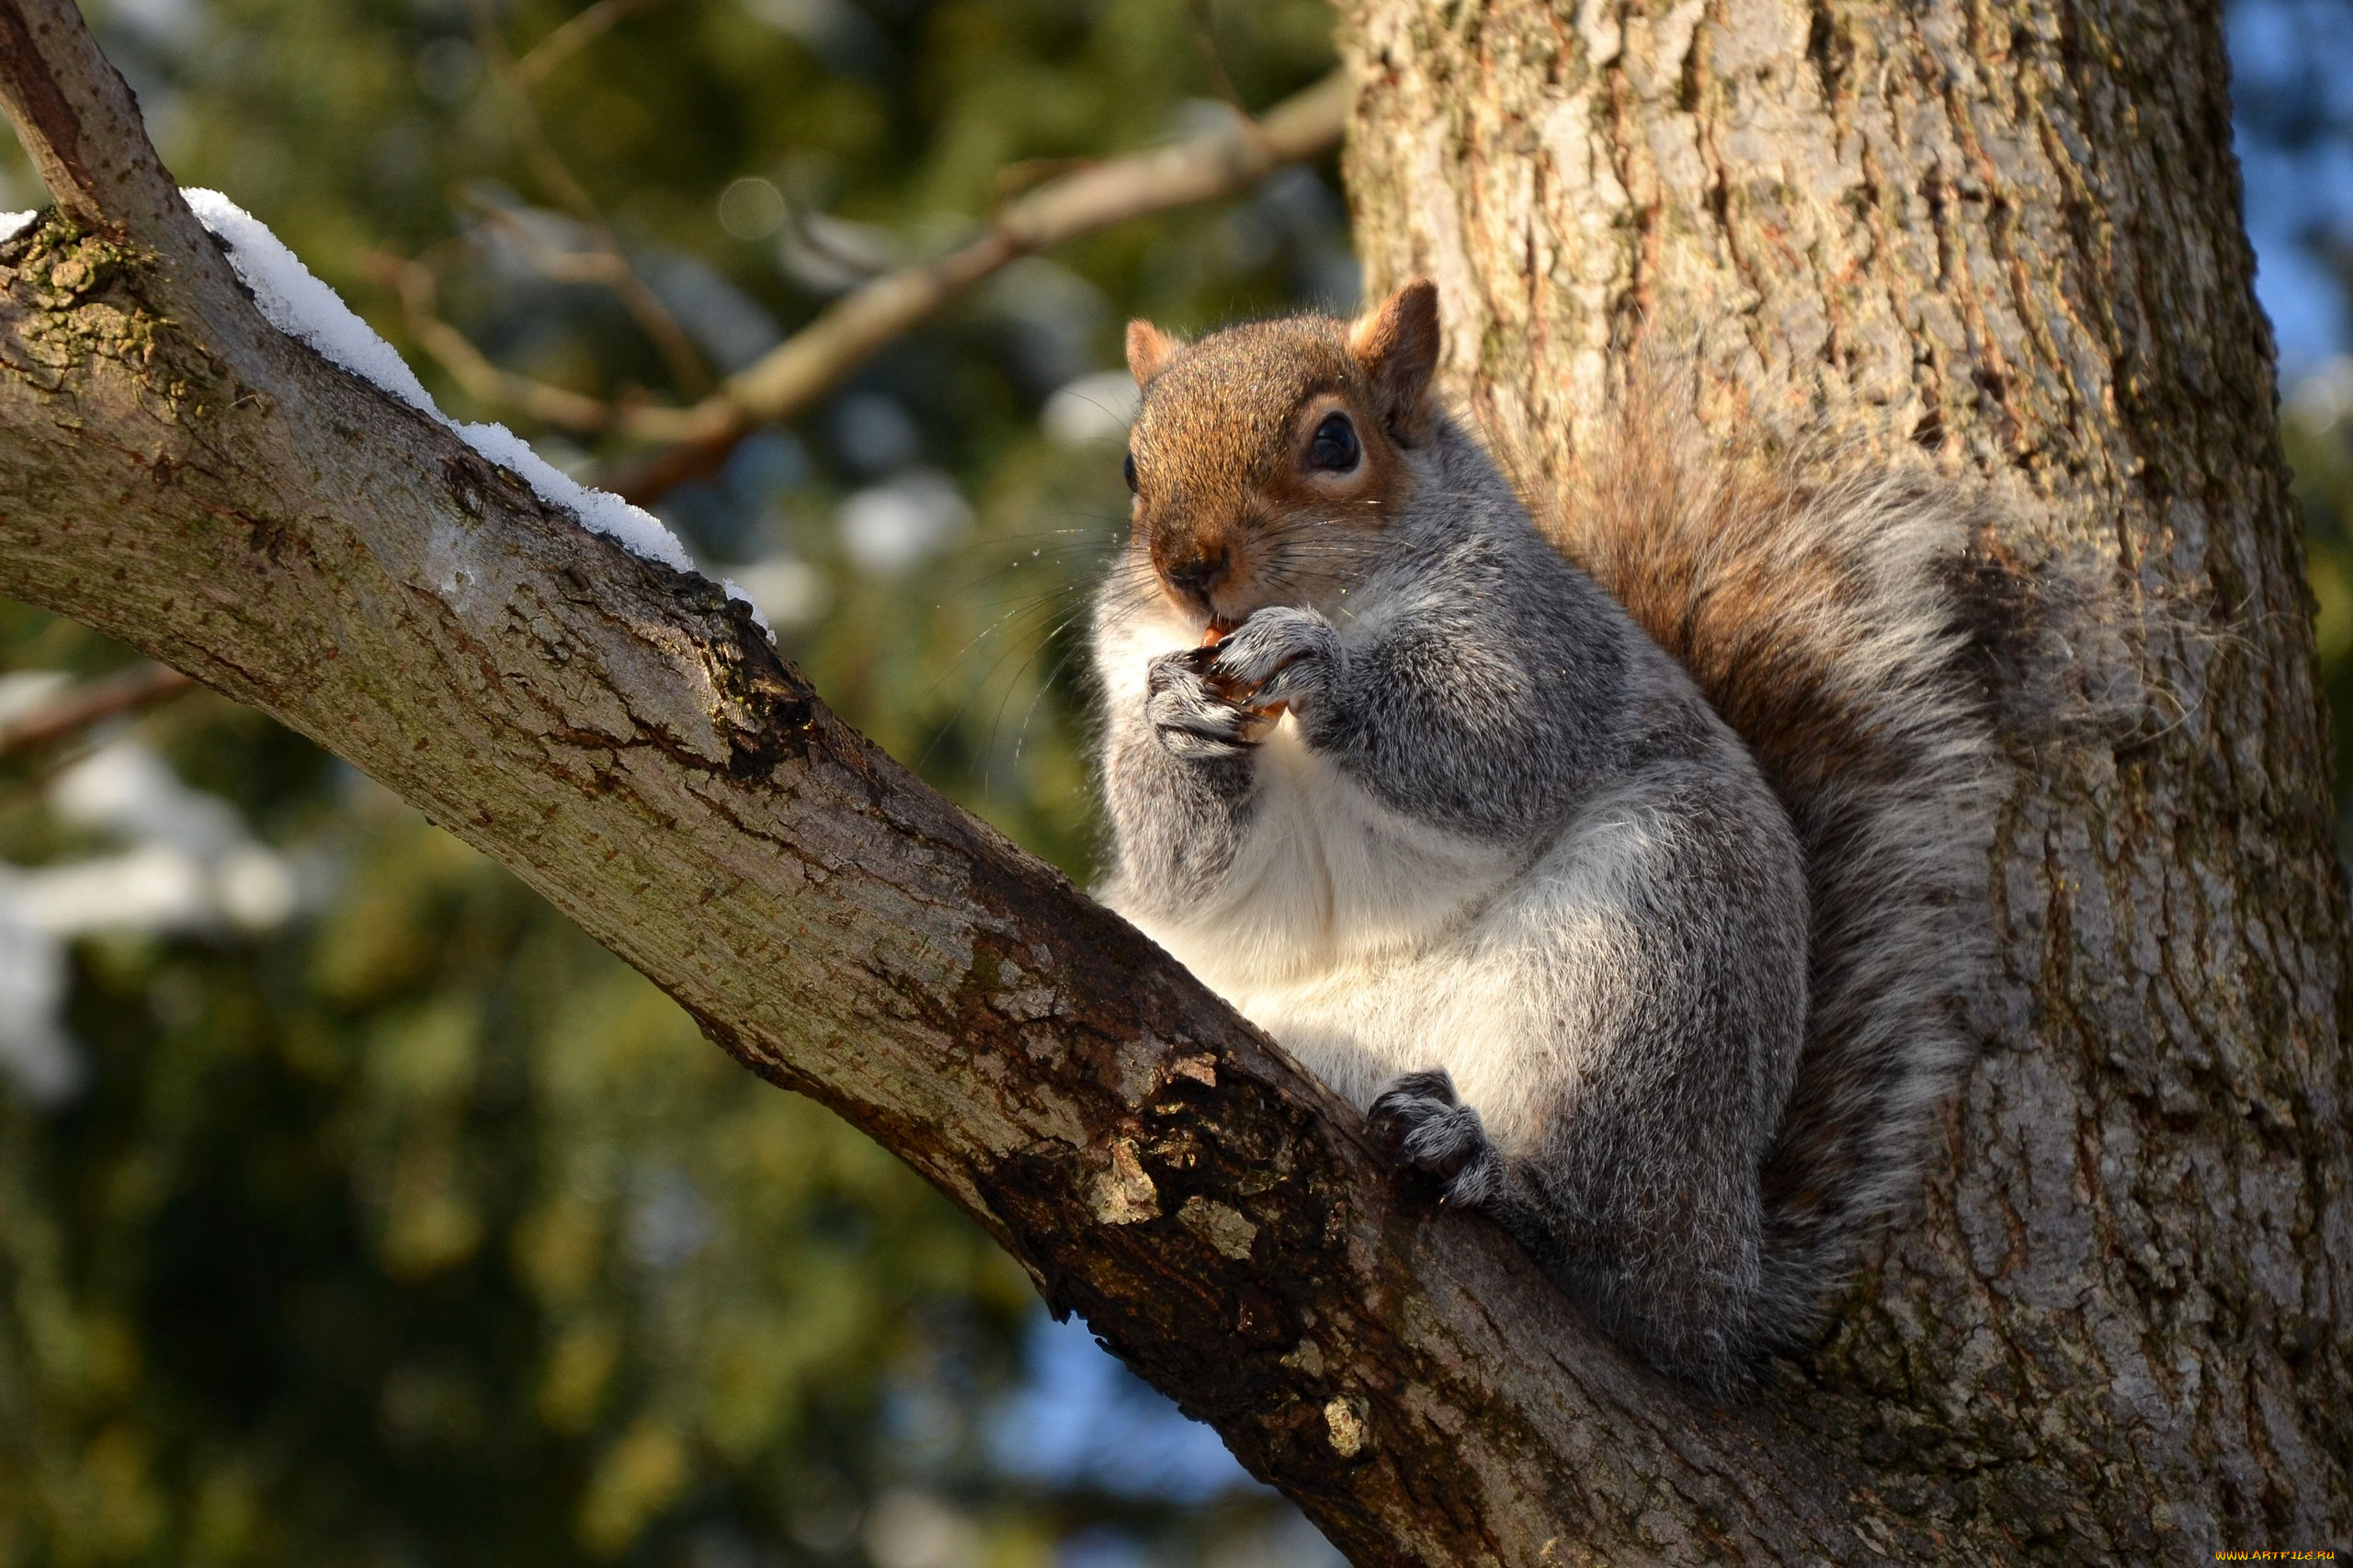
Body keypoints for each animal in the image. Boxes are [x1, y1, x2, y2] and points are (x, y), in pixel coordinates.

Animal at [1082, 281, 2005, 1384]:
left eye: (1336, 440)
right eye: (1132, 469)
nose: (1187, 568)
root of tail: (1723, 1273)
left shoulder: (1535, 639)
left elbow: (1491, 744)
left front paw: (1318, 662)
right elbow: (1178, 866)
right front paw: (1177, 720)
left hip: (1649, 961)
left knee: (1607, 1239)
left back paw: (1491, 1172)